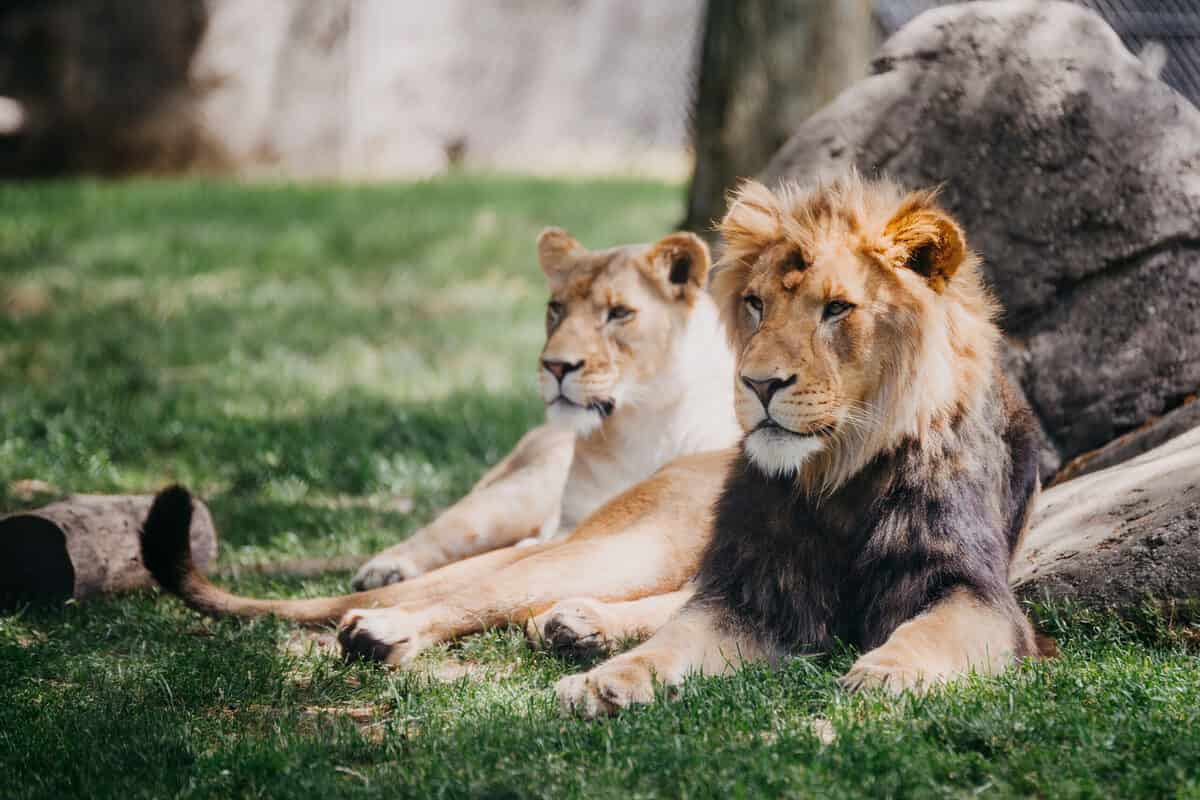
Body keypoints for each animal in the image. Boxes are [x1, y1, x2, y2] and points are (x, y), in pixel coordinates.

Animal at [140, 227, 739, 662]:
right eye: (556, 310)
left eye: (619, 315)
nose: (558, 367)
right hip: (637, 543)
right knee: (479, 588)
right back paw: (385, 629)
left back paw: (577, 624)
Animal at [556, 176, 1046, 719]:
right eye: (756, 303)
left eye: (836, 308)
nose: (759, 383)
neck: (839, 479)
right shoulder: (757, 586)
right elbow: (677, 635)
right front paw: (604, 680)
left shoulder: (972, 589)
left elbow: (931, 631)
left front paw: (884, 676)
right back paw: (579, 621)